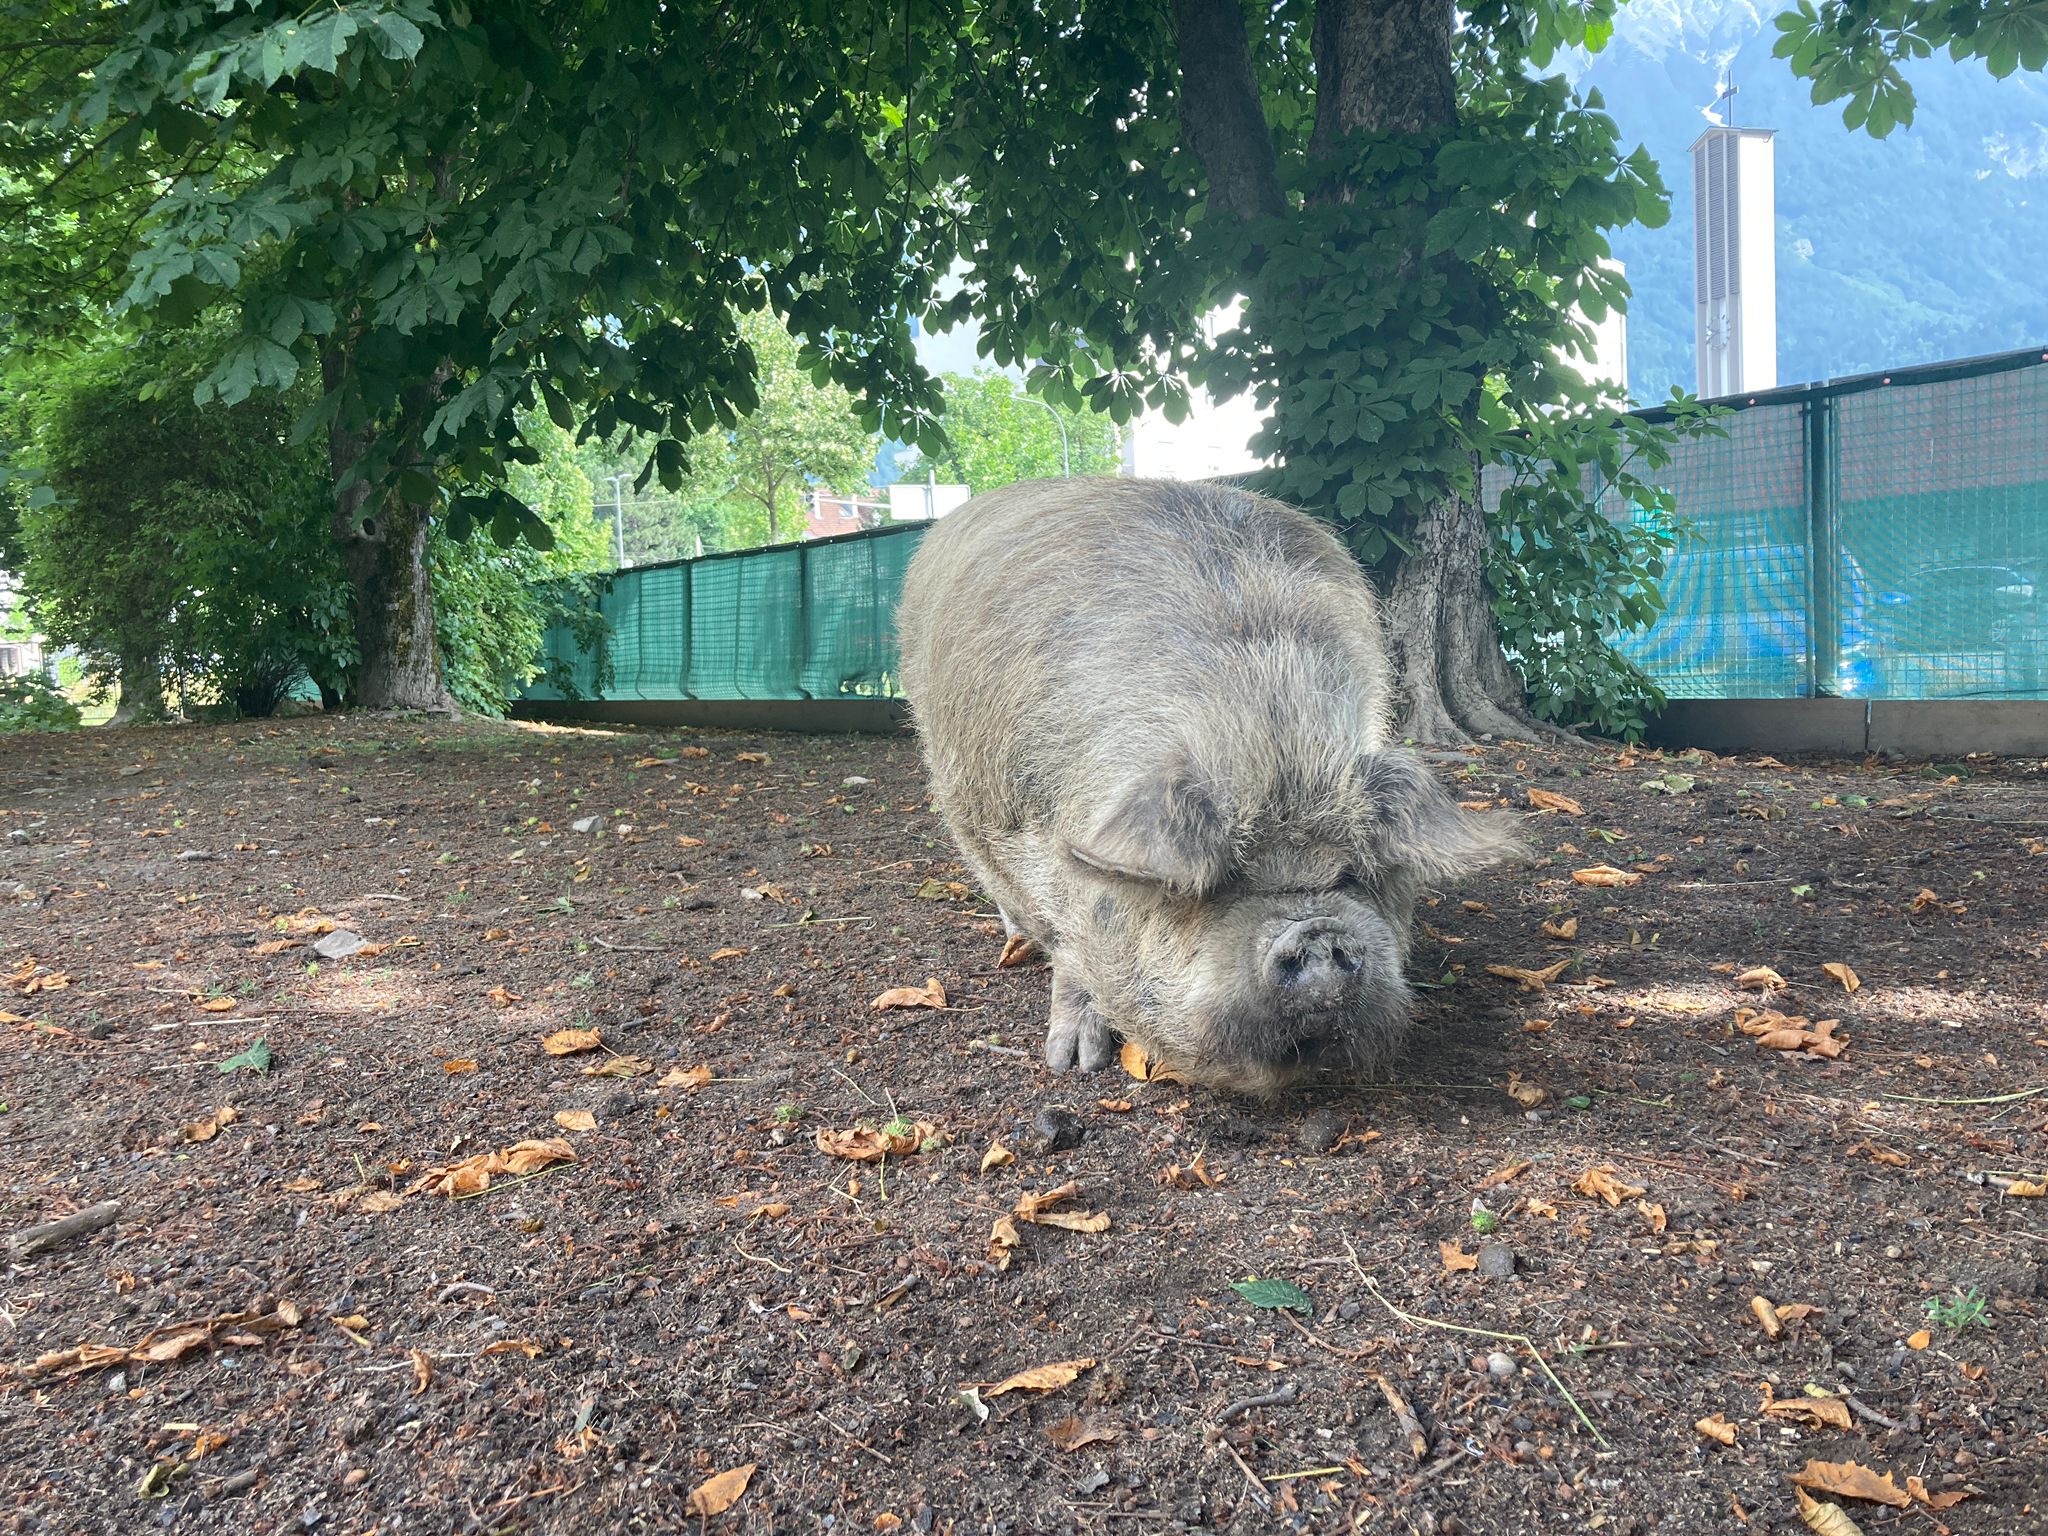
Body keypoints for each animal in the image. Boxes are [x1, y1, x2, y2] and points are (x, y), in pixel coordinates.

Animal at [901, 479, 1523, 1097]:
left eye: (1352, 876)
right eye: (1220, 885)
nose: (1317, 932)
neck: (1270, 741)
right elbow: (1072, 948)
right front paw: (1076, 1062)